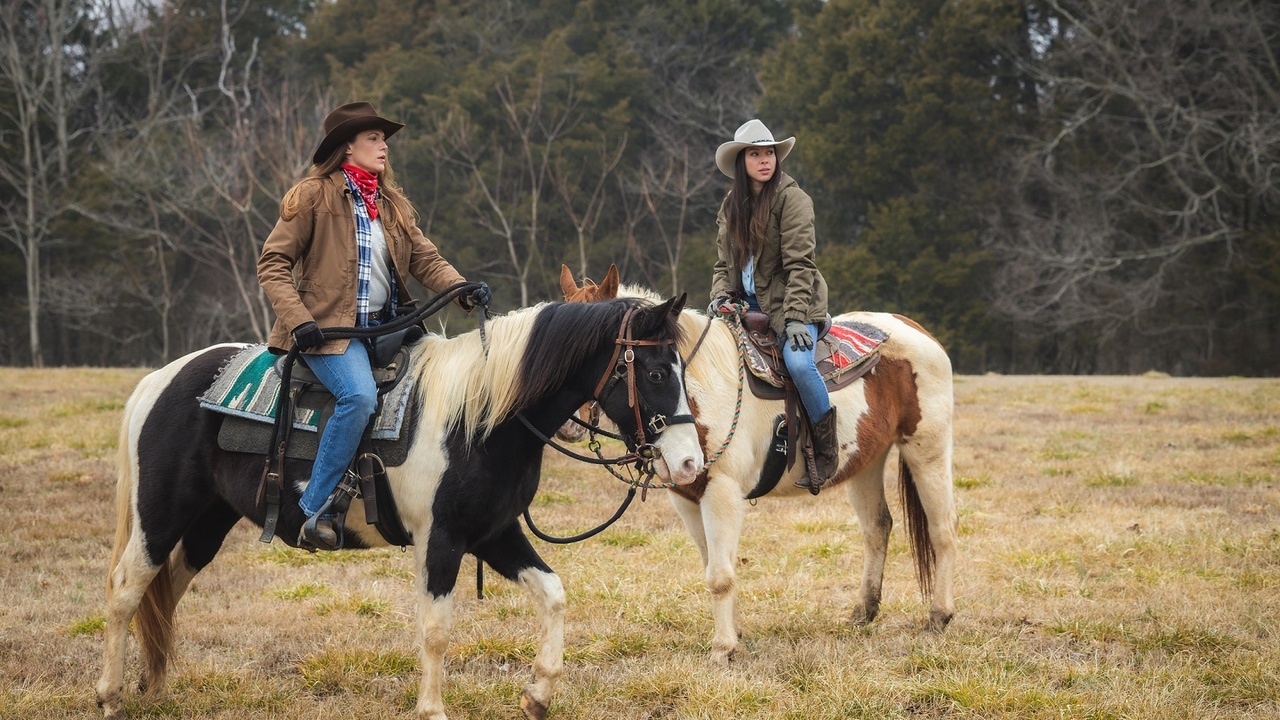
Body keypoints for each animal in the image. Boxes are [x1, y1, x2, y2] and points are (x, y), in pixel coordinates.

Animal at [555, 265, 957, 661]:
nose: (565, 424)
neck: (696, 387)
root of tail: (916, 330)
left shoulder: (721, 492)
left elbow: (720, 576)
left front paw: (722, 649)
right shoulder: (687, 497)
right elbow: (716, 565)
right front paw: (735, 635)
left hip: (927, 450)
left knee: (942, 530)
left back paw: (938, 616)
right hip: (866, 461)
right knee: (877, 528)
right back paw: (863, 612)